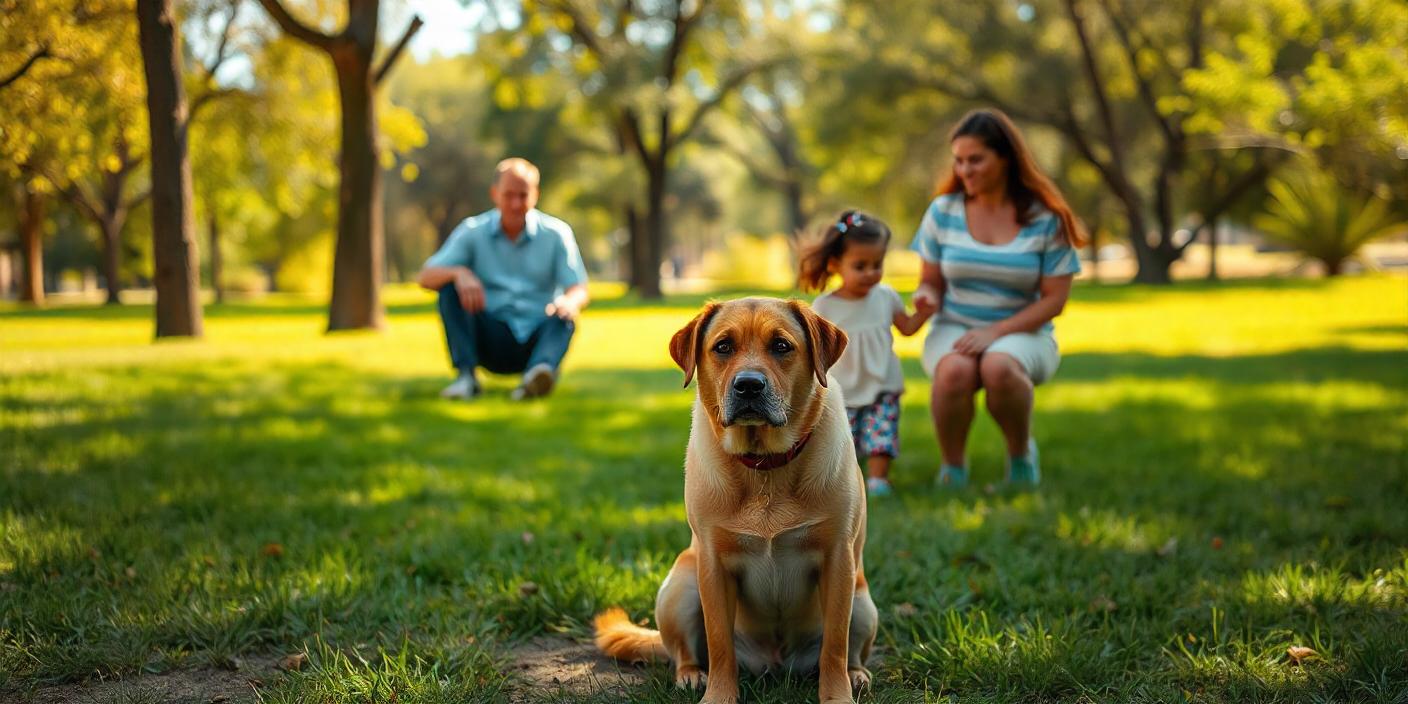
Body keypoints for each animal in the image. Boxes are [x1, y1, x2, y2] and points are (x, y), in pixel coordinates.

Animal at [588, 297, 872, 704]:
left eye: (781, 346)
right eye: (723, 346)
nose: (749, 385)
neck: (764, 465)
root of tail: (776, 663)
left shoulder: (838, 560)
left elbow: (835, 645)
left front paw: (837, 696)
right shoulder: (713, 564)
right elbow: (719, 644)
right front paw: (719, 695)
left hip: (863, 603)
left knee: (848, 650)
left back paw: (856, 674)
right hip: (680, 587)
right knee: (684, 652)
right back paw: (692, 674)